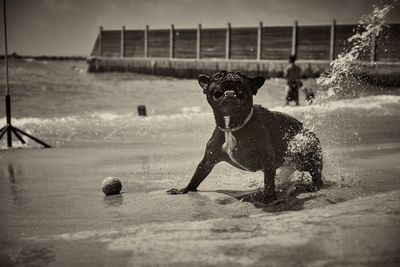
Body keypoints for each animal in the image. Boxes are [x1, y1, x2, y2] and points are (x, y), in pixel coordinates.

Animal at [167, 70, 324, 204]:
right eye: (218, 75)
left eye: (242, 76)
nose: (231, 75)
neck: (231, 125)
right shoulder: (208, 159)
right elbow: (198, 175)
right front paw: (185, 190)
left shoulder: (267, 157)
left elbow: (268, 181)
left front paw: (268, 198)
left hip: (304, 153)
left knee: (315, 172)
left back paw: (314, 186)